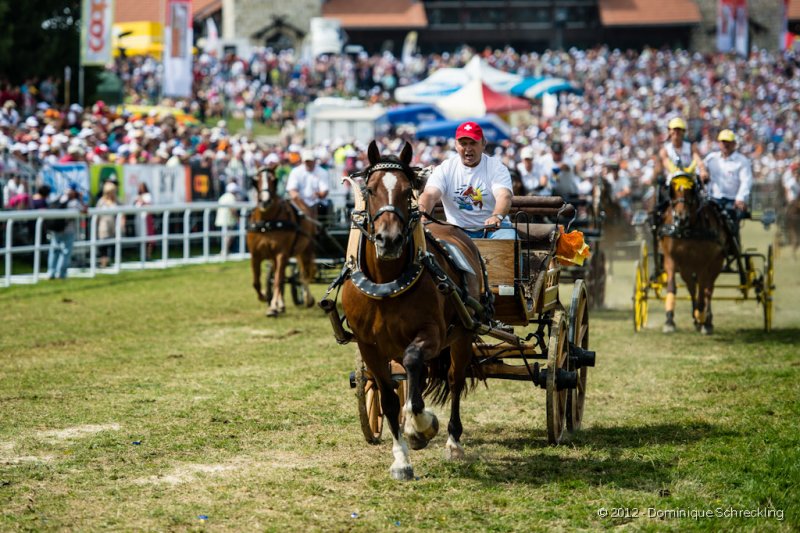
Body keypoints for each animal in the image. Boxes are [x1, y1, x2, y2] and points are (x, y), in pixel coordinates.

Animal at [247, 166, 316, 316]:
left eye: (274, 180)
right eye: (255, 180)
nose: (265, 201)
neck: (267, 222)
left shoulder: (282, 253)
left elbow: (278, 280)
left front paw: (273, 306)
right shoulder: (255, 255)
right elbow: (256, 282)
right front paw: (265, 296)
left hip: (304, 249)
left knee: (303, 273)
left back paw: (307, 299)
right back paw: (281, 303)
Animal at [340, 139, 484, 480]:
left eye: (408, 192)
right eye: (370, 190)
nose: (389, 240)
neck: (386, 282)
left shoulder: (431, 334)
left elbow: (415, 365)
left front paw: (422, 427)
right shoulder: (369, 346)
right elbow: (390, 399)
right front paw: (401, 459)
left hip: (461, 336)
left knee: (454, 380)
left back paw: (453, 442)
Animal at [656, 175, 732, 332]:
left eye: (691, 191)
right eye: (672, 192)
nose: (681, 218)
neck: (688, 230)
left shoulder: (704, 262)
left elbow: (702, 289)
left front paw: (701, 315)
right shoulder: (671, 258)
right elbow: (672, 286)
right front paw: (669, 320)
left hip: (716, 263)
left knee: (708, 289)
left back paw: (706, 321)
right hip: (686, 267)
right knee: (692, 287)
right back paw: (696, 317)